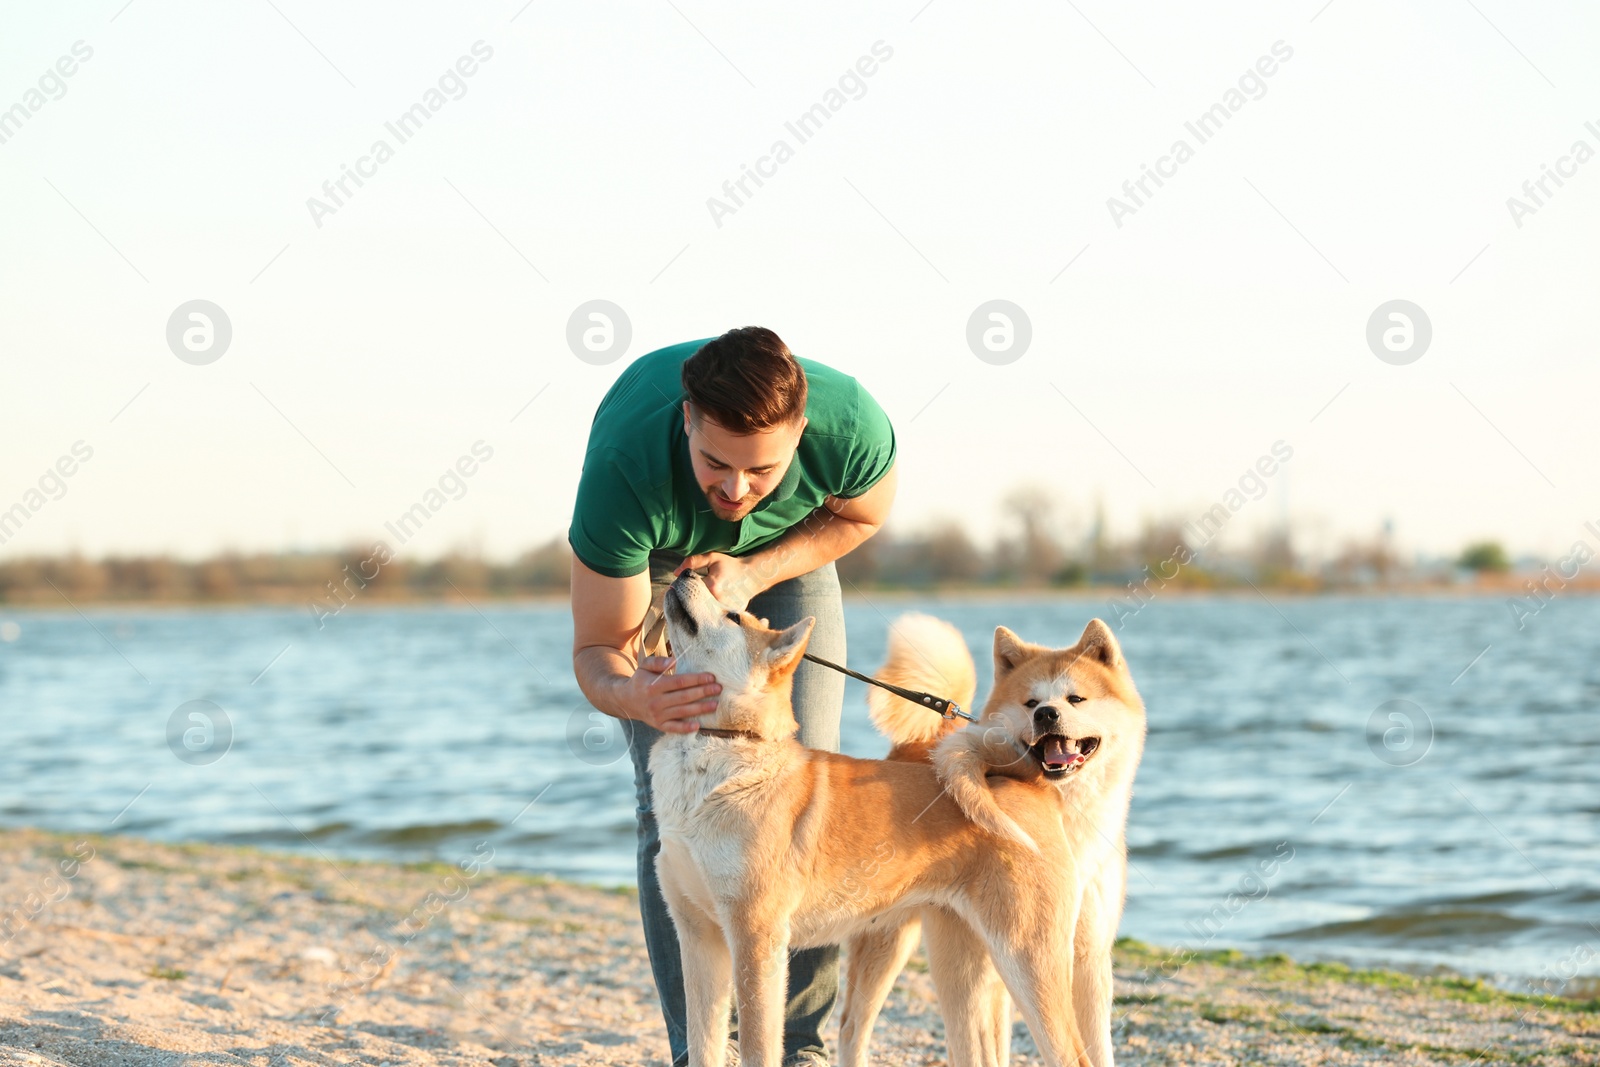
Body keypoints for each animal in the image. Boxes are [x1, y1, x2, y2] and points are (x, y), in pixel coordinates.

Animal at [646, 575, 1088, 1067]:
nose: (687, 574)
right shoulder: (698, 938)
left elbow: (759, 1046)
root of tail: (1031, 779)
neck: (723, 749)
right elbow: (703, 1042)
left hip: (1024, 958)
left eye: (733, 616)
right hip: (956, 960)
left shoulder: (755, 938)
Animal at [838, 614, 1152, 1067]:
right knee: (853, 1027)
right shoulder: (990, 960)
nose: (1047, 714)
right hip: (896, 940)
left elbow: (1097, 1048)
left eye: (1076, 699)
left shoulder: (1088, 956)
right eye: (1030, 703)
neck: (1063, 818)